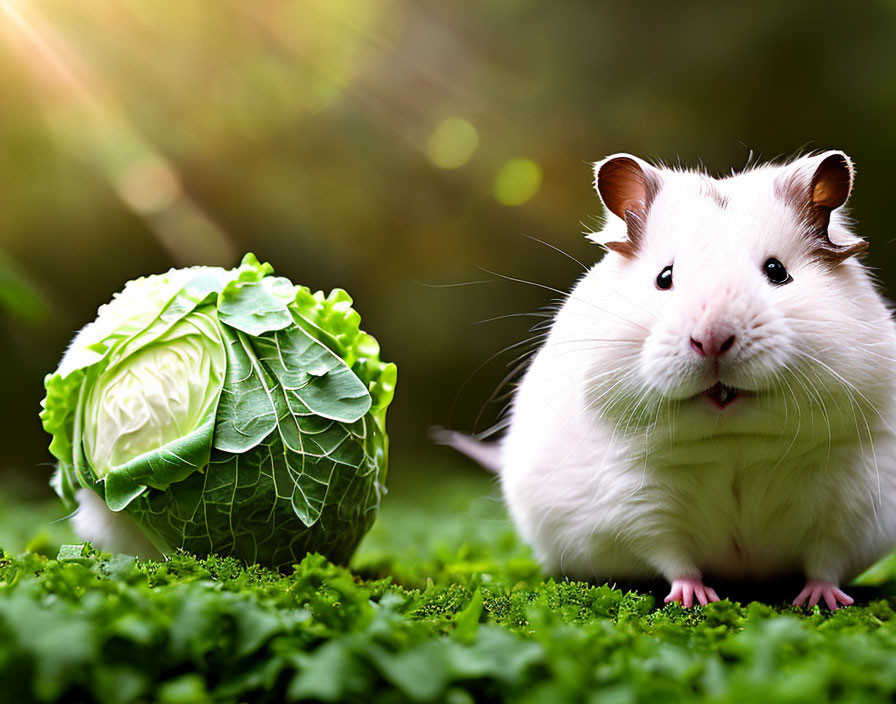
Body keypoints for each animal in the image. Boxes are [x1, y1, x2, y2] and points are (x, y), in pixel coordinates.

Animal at [448, 151, 896, 608]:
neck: (734, 441)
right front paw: (694, 599)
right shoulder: (637, 506)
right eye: (665, 277)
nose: (713, 339)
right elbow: (672, 555)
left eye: (777, 271)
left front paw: (821, 602)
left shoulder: (849, 507)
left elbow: (825, 560)